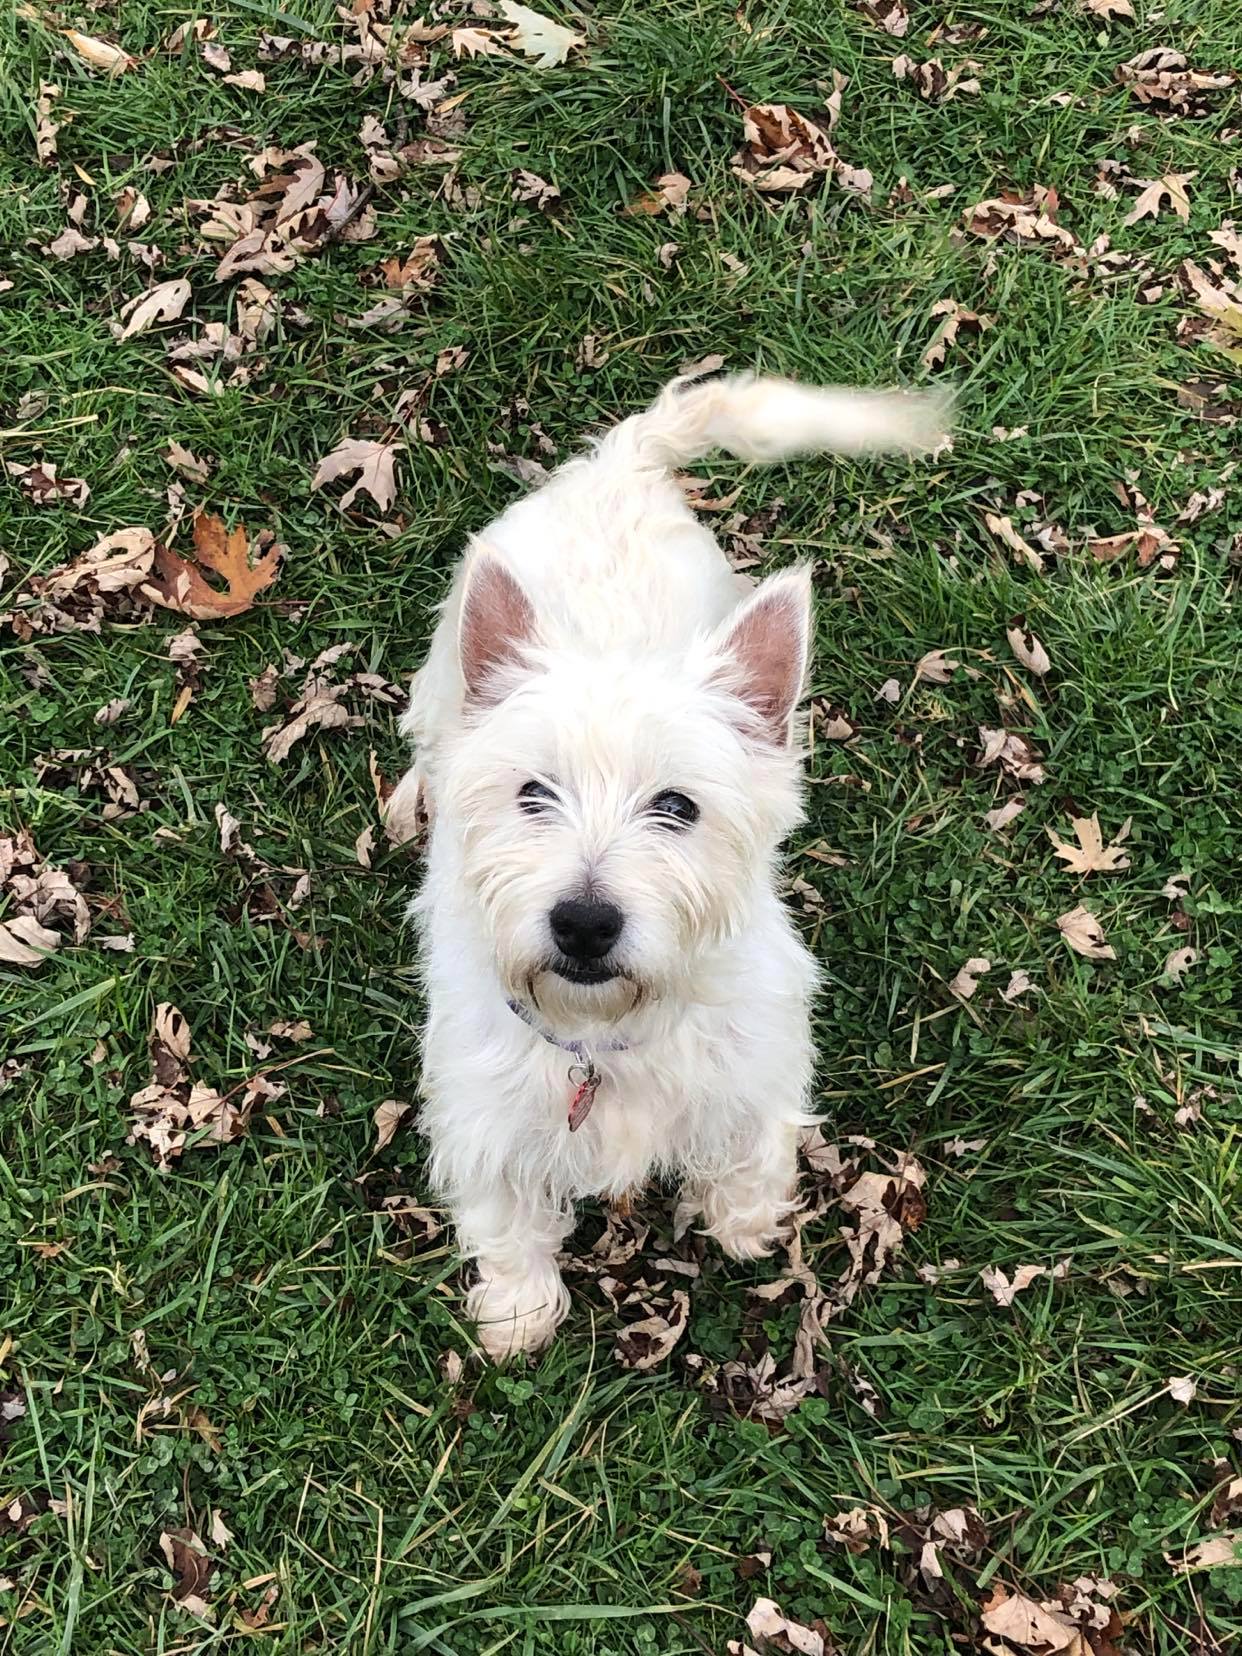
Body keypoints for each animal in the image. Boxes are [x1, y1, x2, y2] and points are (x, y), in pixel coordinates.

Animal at [404, 372, 947, 1357]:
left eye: (678, 807)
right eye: (532, 792)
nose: (584, 923)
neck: (606, 1040)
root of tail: (617, 466)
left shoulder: (758, 1063)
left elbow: (754, 1148)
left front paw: (742, 1221)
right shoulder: (483, 1110)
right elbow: (505, 1215)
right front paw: (517, 1309)